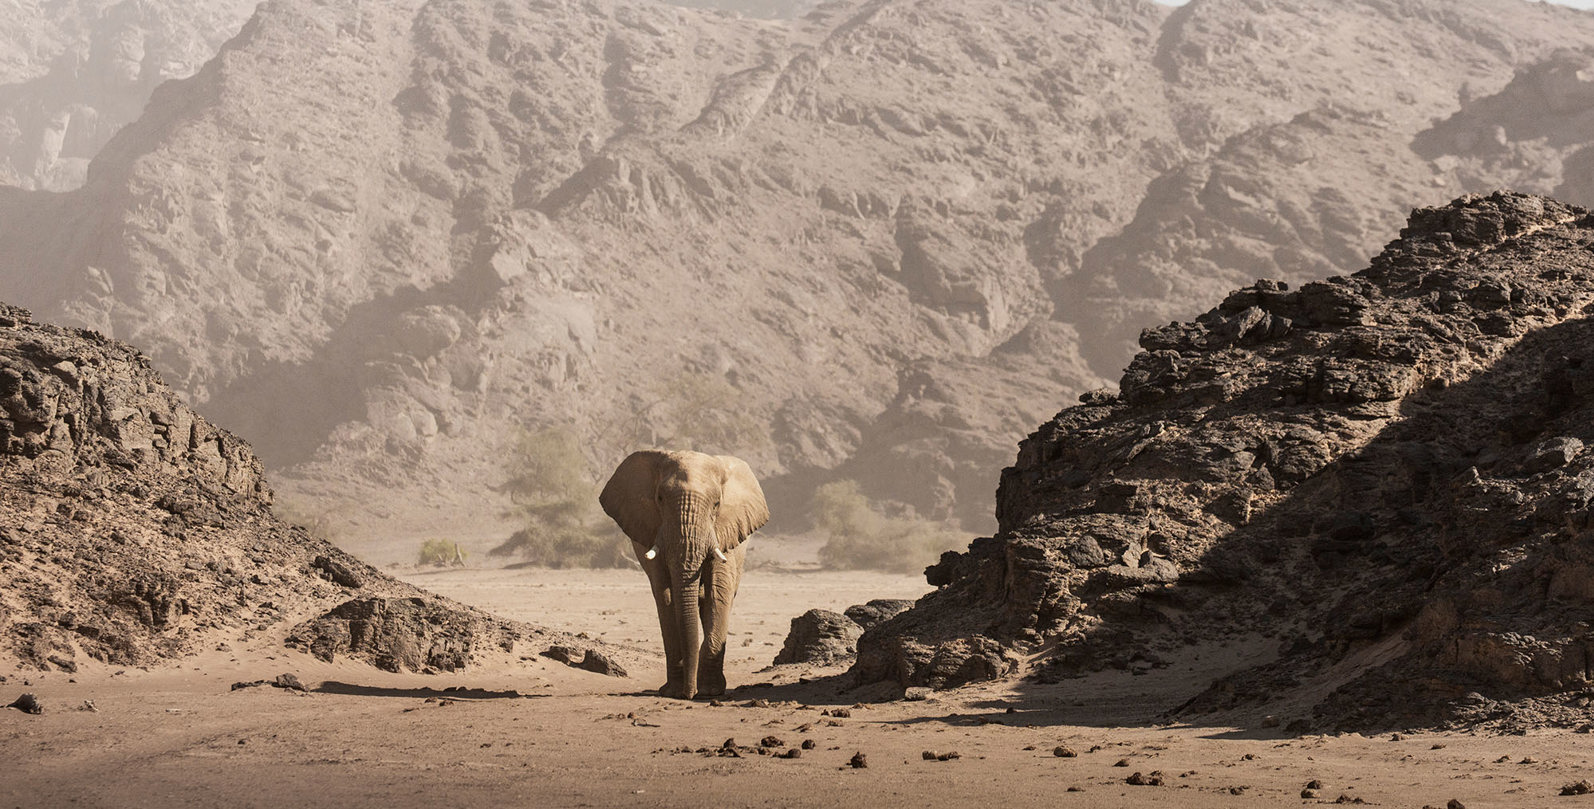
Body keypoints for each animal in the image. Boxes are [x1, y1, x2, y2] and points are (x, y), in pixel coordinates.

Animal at [599, 450, 769, 699]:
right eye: (660, 498)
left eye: (717, 504)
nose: (689, 695)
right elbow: (665, 597)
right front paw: (672, 691)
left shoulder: (725, 532)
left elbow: (717, 594)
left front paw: (709, 692)